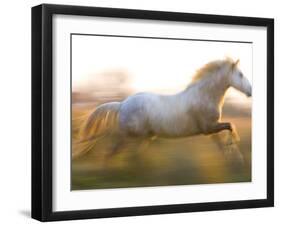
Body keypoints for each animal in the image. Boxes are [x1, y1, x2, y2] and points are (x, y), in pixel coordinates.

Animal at [73, 58, 250, 159]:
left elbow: (223, 139)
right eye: (241, 74)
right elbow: (230, 126)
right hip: (129, 135)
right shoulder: (209, 127)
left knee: (127, 152)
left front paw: (231, 155)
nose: (250, 90)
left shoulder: (210, 129)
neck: (203, 95)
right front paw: (236, 152)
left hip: (143, 136)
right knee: (112, 150)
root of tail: (122, 104)